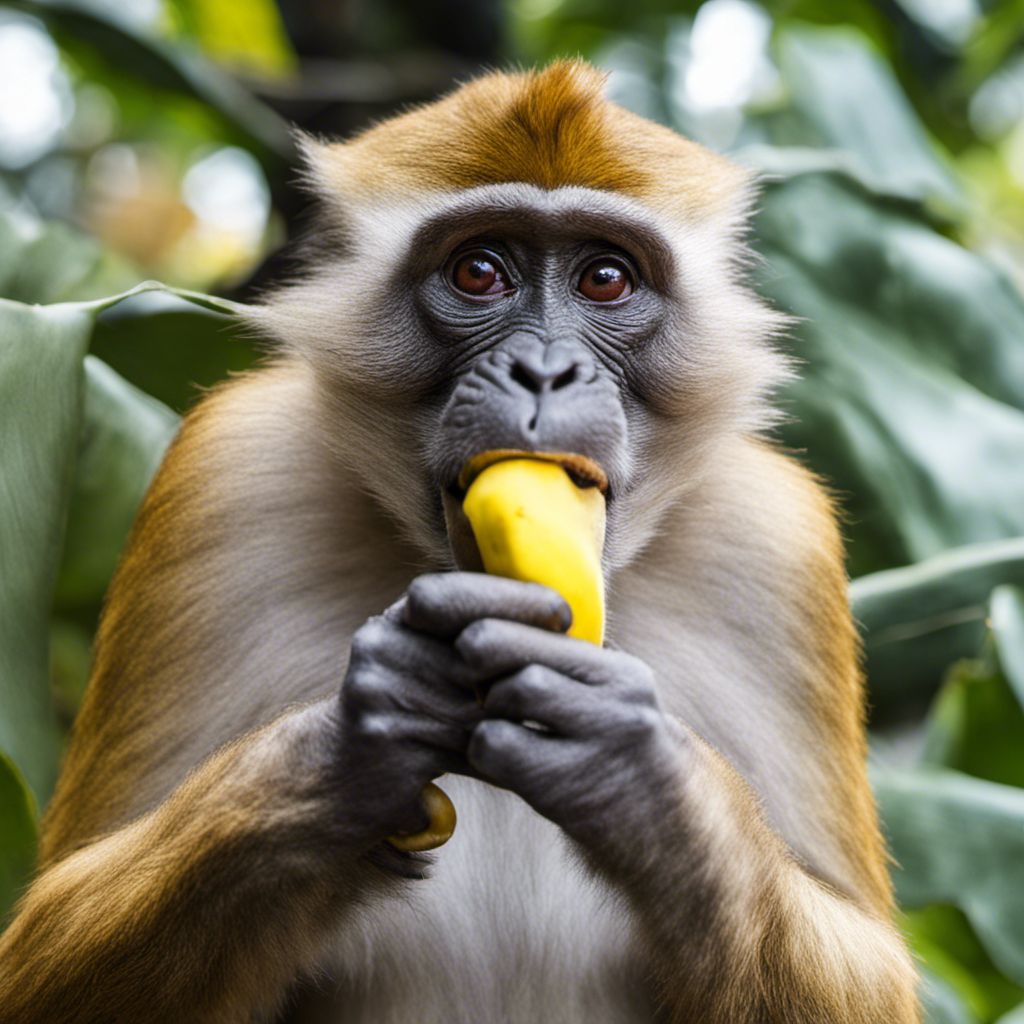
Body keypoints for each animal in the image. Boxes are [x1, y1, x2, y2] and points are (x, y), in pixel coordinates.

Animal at [0, 59, 921, 1019]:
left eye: (604, 279)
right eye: (479, 271)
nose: (543, 371)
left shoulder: (774, 543)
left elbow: (873, 969)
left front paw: (643, 781)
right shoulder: (226, 477)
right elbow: (39, 950)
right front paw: (353, 749)